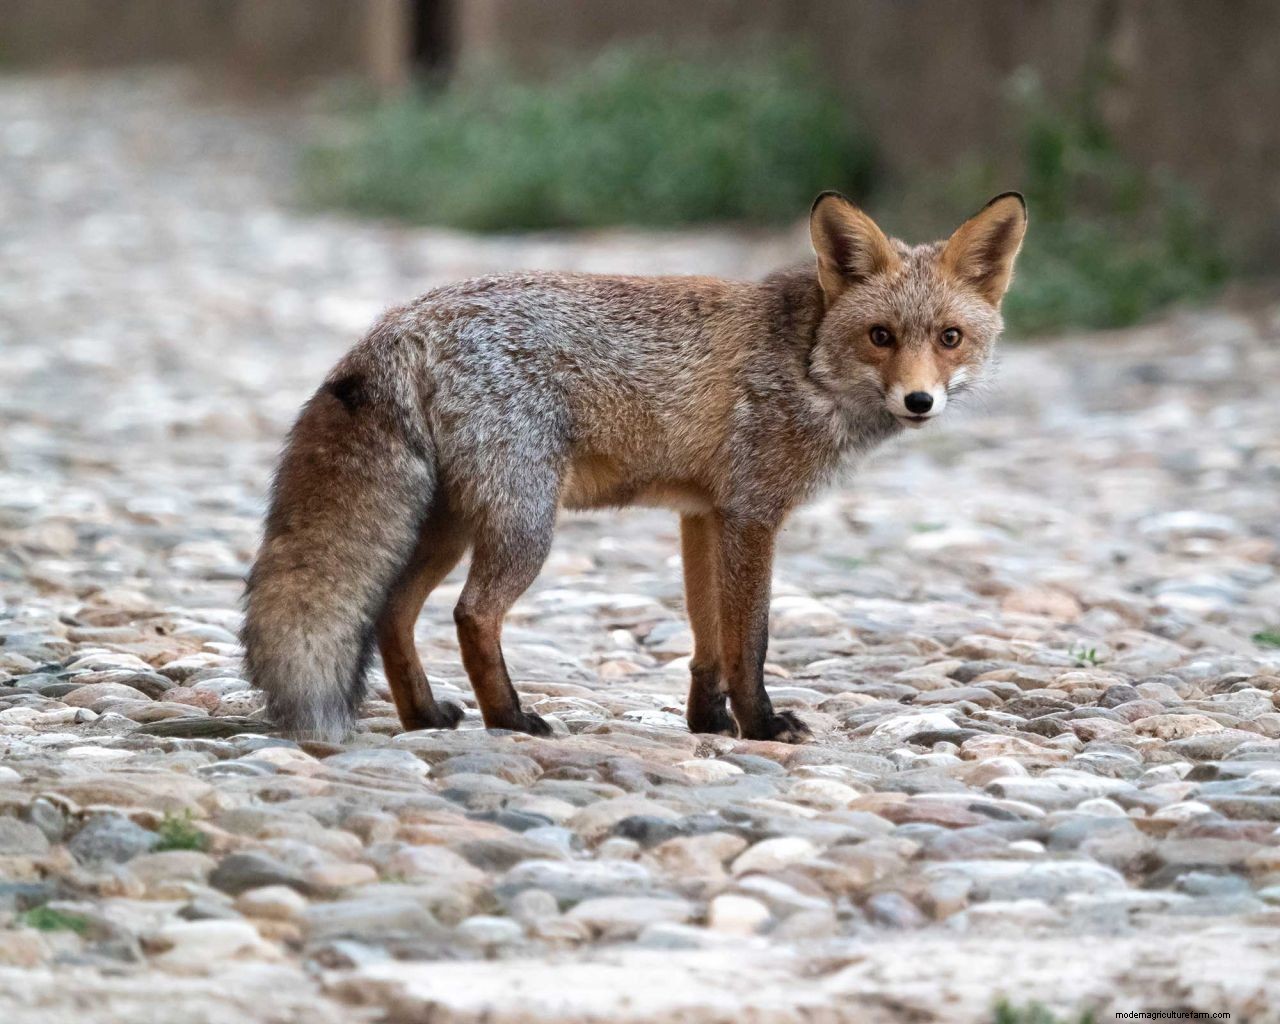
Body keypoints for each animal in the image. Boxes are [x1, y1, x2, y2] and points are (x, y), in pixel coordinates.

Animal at [242, 191, 1027, 744]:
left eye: (949, 338)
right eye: (881, 336)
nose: (920, 401)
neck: (806, 360)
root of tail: (401, 320)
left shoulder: (702, 515)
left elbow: (708, 638)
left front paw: (709, 723)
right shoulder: (753, 515)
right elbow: (750, 640)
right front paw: (761, 725)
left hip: (453, 523)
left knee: (392, 613)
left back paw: (426, 716)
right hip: (524, 524)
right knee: (472, 614)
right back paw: (511, 719)